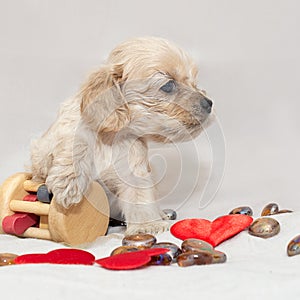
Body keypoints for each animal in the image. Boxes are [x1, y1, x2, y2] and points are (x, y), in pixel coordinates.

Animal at [29, 37, 213, 234]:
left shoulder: (134, 170)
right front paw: (68, 183)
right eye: (168, 85)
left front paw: (147, 226)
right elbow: (76, 141)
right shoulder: (44, 150)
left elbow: (139, 196)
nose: (209, 103)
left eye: (194, 82)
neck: (110, 137)